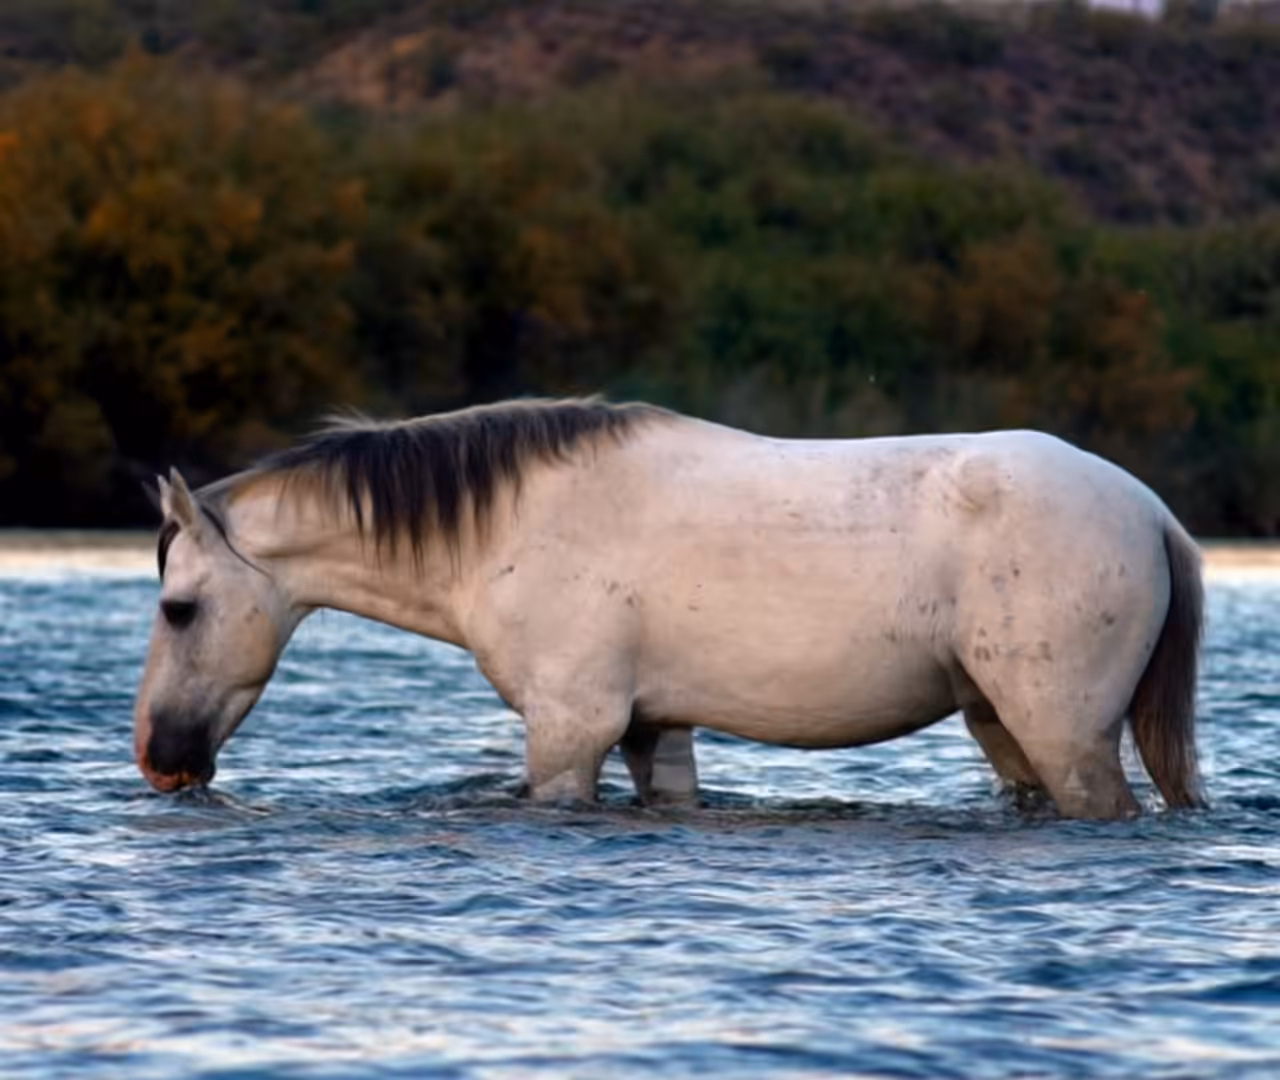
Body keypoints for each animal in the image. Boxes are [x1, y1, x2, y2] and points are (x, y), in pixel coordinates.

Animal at [133, 398, 1204, 820]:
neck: (511, 525)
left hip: (1064, 733)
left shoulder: (571, 731)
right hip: (1001, 726)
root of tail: (1150, 509)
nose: (158, 760)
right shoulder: (655, 728)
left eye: (179, 609)